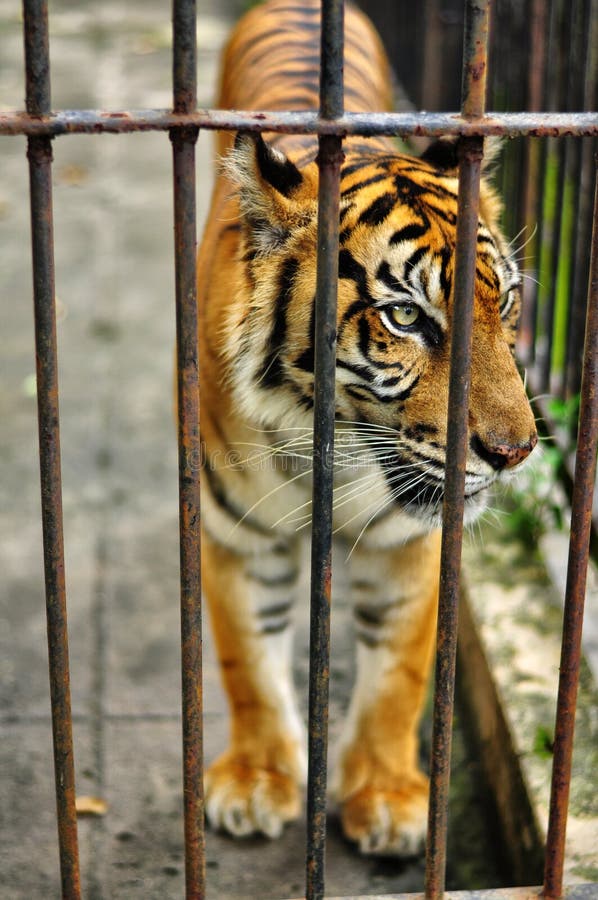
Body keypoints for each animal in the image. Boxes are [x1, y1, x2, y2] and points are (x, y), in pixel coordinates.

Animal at [197, 0, 537, 857]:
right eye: (406, 318)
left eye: (507, 303)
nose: (516, 452)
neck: (341, 449)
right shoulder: (237, 530)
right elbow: (249, 662)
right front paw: (257, 782)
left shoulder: (412, 541)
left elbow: (400, 674)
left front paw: (384, 796)